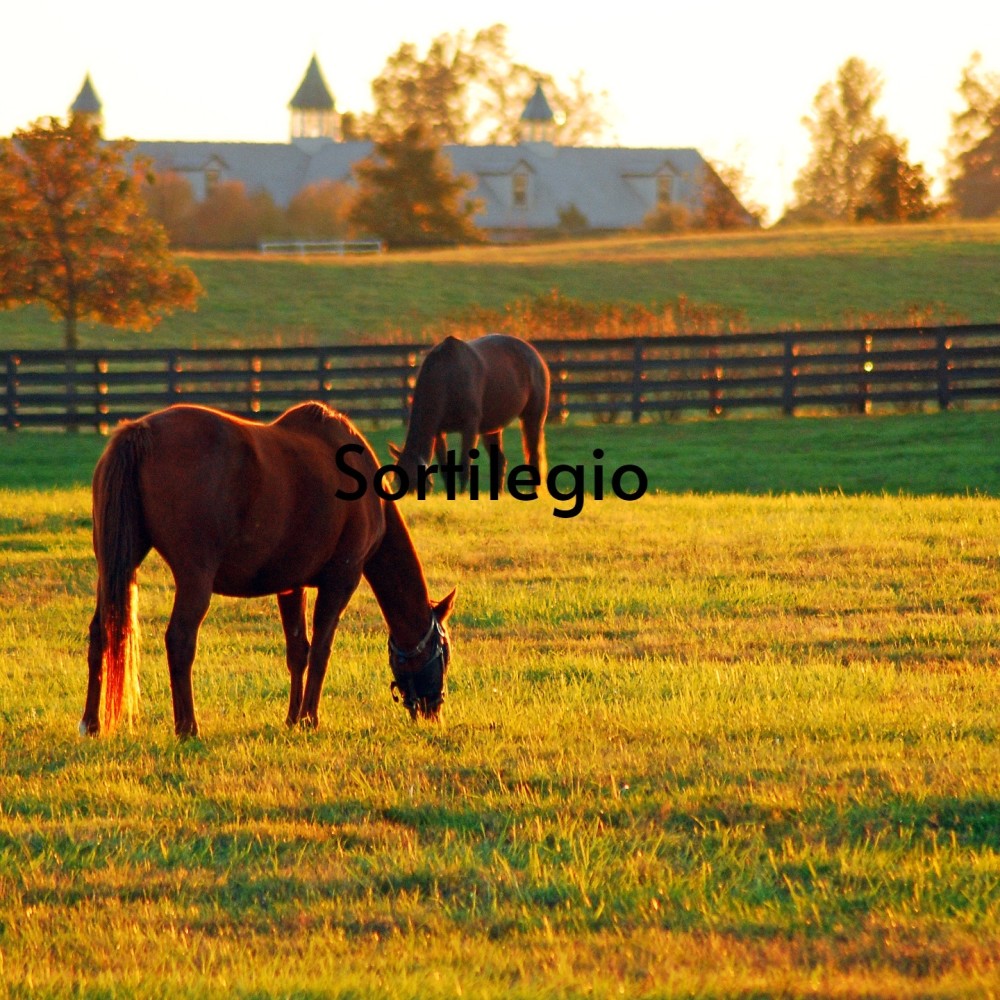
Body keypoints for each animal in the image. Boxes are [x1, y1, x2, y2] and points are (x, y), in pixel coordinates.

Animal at [82, 402, 458, 740]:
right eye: (445, 649)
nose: (434, 710)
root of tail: (140, 432)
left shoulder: (291, 586)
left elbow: (298, 651)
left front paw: (292, 718)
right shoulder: (341, 580)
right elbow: (321, 651)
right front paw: (309, 719)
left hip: (114, 564)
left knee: (101, 632)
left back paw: (91, 724)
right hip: (194, 578)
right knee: (179, 640)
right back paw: (187, 727)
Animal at [390, 336, 552, 492]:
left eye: (416, 482)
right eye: (397, 482)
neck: (448, 377)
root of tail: (535, 356)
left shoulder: (469, 428)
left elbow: (464, 468)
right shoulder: (438, 432)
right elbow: (445, 470)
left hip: (532, 418)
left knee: (533, 456)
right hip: (492, 428)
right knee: (500, 462)